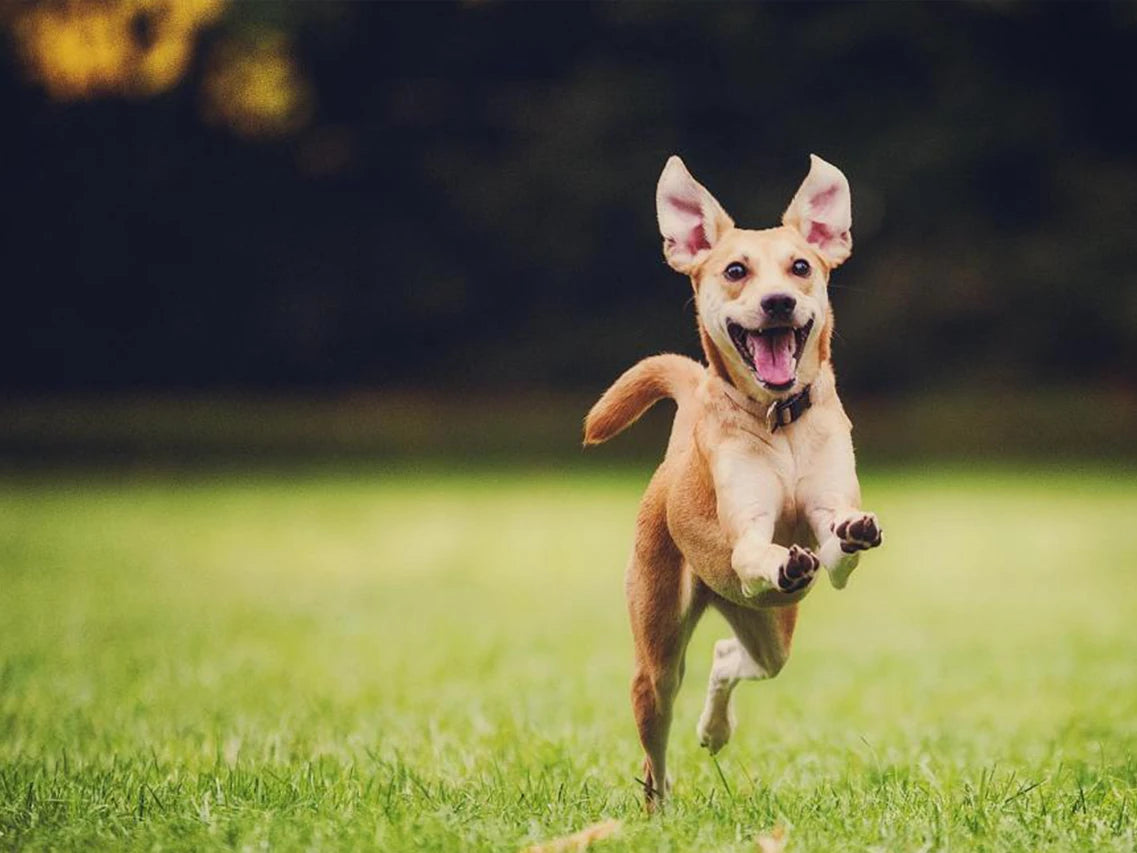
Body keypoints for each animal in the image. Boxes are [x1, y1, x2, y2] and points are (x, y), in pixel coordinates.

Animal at [582, 155, 882, 814]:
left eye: (801, 267)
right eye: (736, 271)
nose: (778, 302)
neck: (781, 422)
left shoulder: (828, 532)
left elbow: (837, 546)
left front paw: (848, 533)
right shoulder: (745, 535)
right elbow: (753, 549)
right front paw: (780, 559)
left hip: (770, 629)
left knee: (732, 658)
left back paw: (715, 730)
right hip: (657, 652)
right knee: (655, 750)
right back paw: (659, 810)